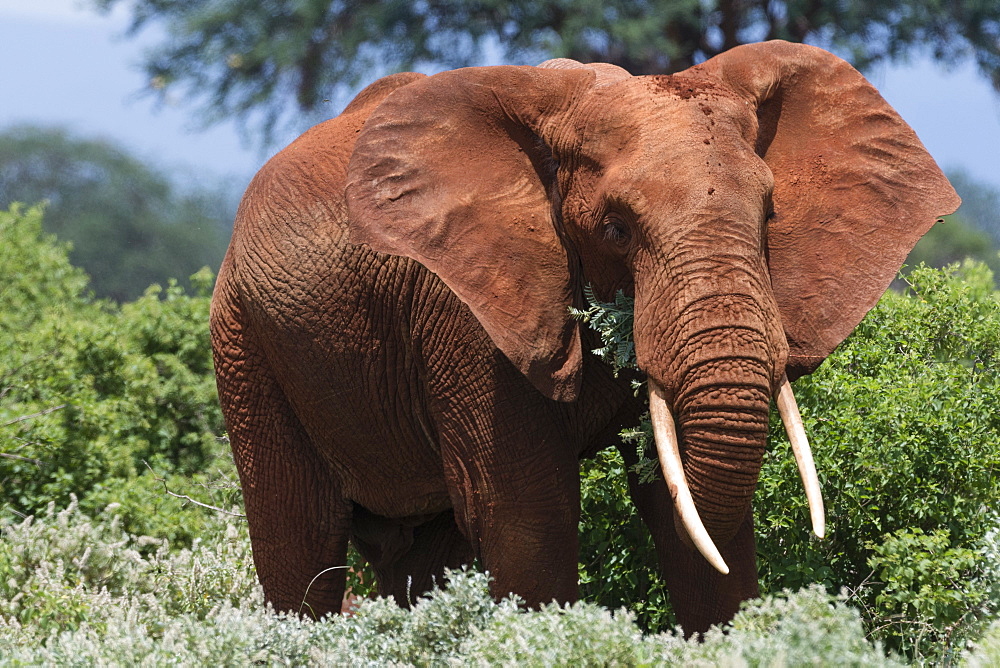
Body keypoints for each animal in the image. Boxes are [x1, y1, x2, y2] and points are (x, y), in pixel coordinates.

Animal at [211, 39, 960, 636]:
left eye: (769, 213)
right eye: (615, 228)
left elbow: (686, 515)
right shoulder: (471, 314)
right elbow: (527, 520)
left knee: (421, 558)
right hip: (246, 342)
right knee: (301, 543)